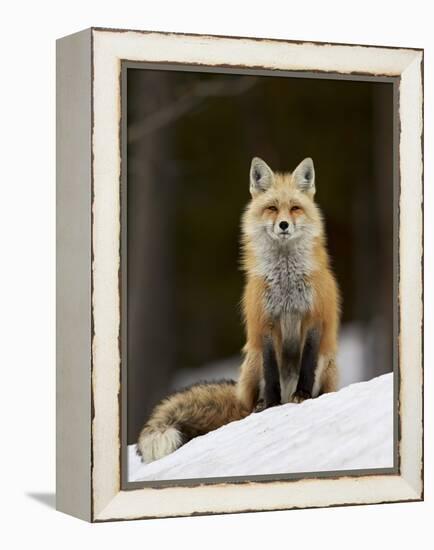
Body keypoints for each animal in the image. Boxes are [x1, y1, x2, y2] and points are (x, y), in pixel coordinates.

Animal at [137, 157, 340, 464]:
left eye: (295, 208)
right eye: (271, 208)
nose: (283, 225)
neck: (286, 281)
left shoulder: (313, 318)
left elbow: (306, 363)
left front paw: (303, 396)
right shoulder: (264, 324)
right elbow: (271, 372)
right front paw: (271, 405)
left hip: (327, 364)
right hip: (251, 360)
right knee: (253, 396)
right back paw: (259, 406)